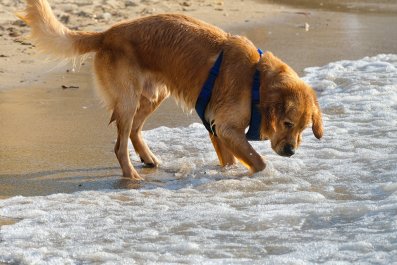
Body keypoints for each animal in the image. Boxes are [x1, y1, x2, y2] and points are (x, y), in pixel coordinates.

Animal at [17, 0, 322, 179]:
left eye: (304, 128)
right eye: (287, 123)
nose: (291, 152)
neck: (255, 79)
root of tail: (106, 34)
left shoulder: (216, 127)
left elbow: (231, 160)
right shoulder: (225, 128)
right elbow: (258, 161)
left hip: (155, 95)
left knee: (135, 131)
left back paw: (148, 159)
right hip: (128, 100)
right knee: (119, 144)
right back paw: (132, 176)